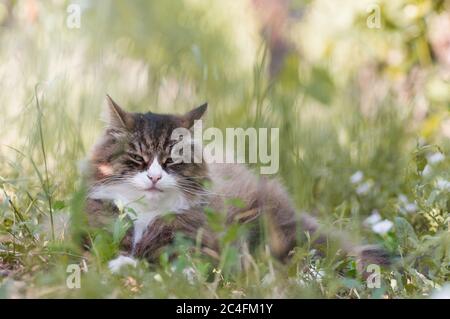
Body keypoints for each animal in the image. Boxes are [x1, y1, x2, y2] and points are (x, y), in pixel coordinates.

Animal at [85, 95, 390, 272]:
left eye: (171, 161)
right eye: (138, 158)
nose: (155, 177)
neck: (146, 215)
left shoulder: (196, 246)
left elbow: (160, 260)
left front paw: (125, 265)